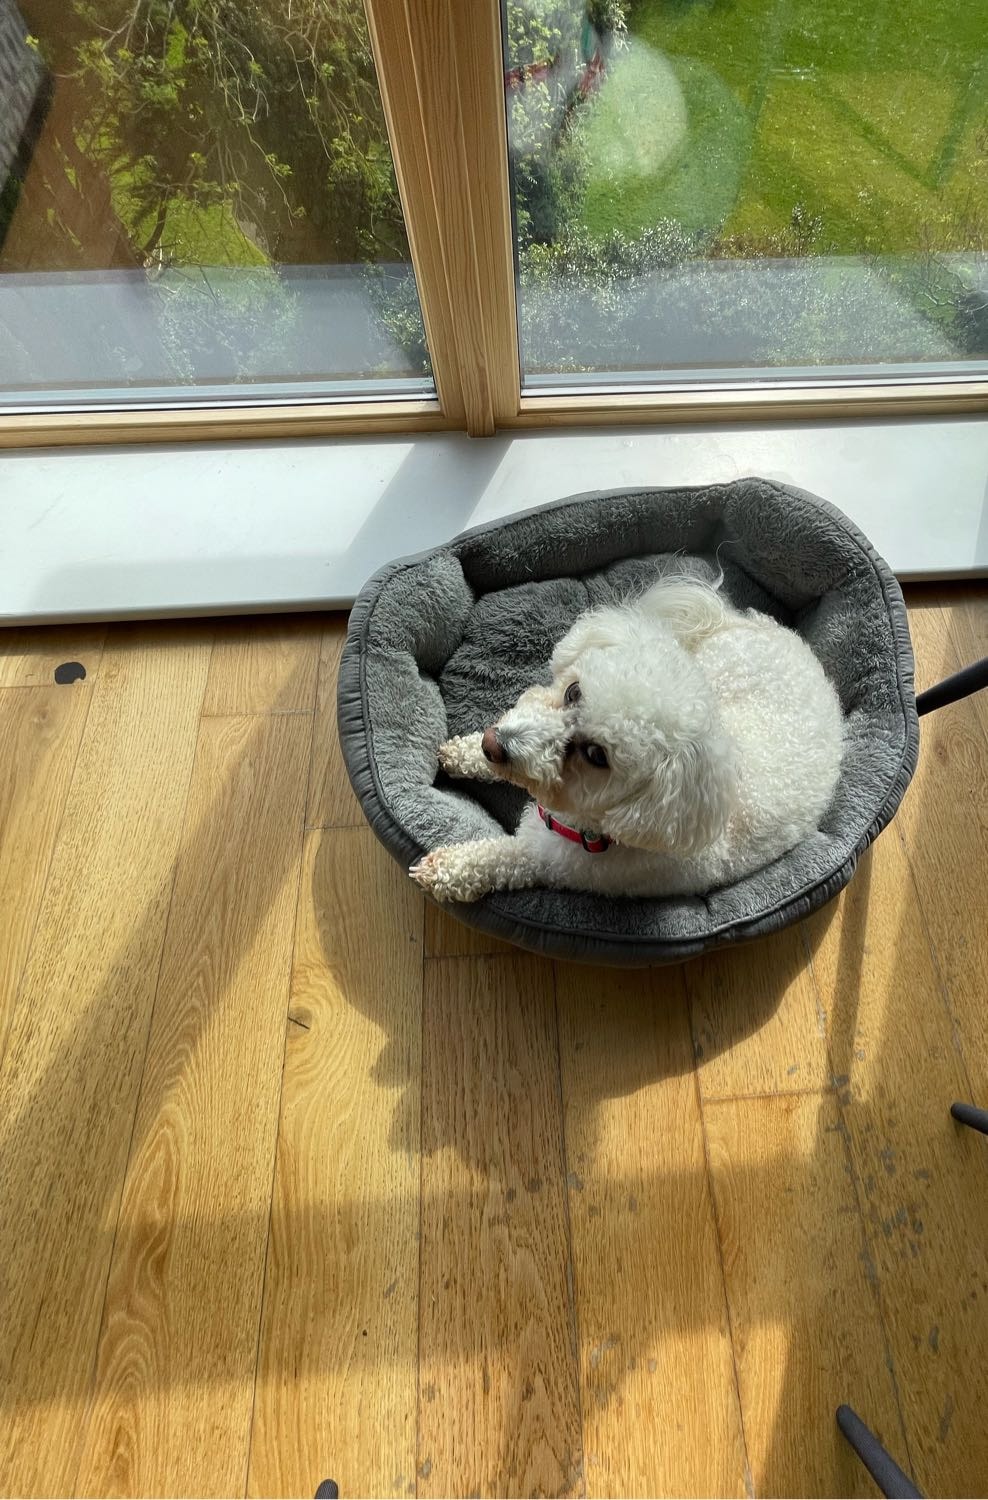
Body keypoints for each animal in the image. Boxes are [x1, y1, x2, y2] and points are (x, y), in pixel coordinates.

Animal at [411, 574, 844, 903]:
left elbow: (501, 858)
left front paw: (449, 868)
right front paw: (463, 752)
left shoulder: (549, 863)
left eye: (596, 754)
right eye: (574, 692)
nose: (493, 745)